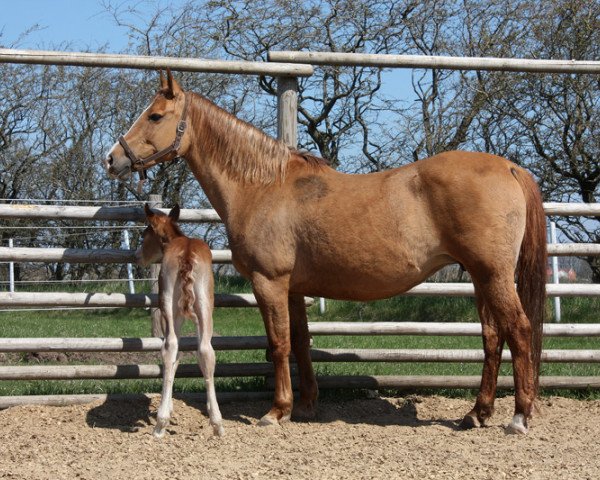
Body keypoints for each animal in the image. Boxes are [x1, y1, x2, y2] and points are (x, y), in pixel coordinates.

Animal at [136, 204, 225, 436]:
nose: (137, 256)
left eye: (144, 234)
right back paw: (216, 423)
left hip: (169, 303)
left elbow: (176, 357)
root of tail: (187, 254)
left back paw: (161, 424)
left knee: (172, 347)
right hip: (203, 305)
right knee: (203, 350)